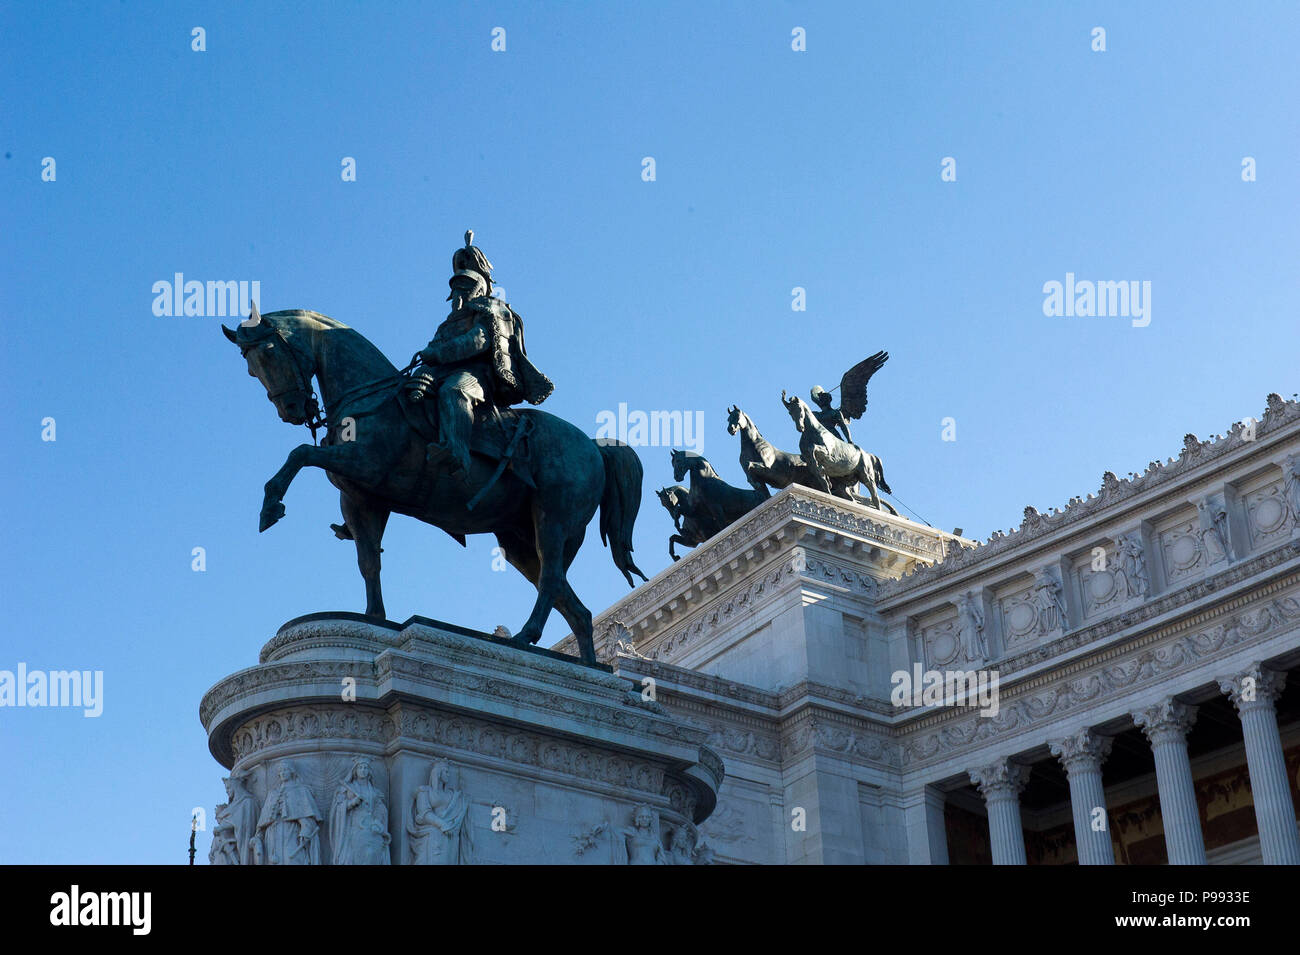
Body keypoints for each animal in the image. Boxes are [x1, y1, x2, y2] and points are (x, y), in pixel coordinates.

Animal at [227, 307, 650, 665]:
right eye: (250, 369)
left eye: (268, 355)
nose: (291, 411)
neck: (372, 397)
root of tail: (593, 445)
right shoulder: (361, 498)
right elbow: (368, 561)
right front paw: (375, 617)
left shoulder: (364, 464)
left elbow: (299, 454)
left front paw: (271, 506)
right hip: (520, 540)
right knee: (573, 602)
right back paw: (592, 667)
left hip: (554, 520)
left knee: (551, 581)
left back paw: (524, 638)